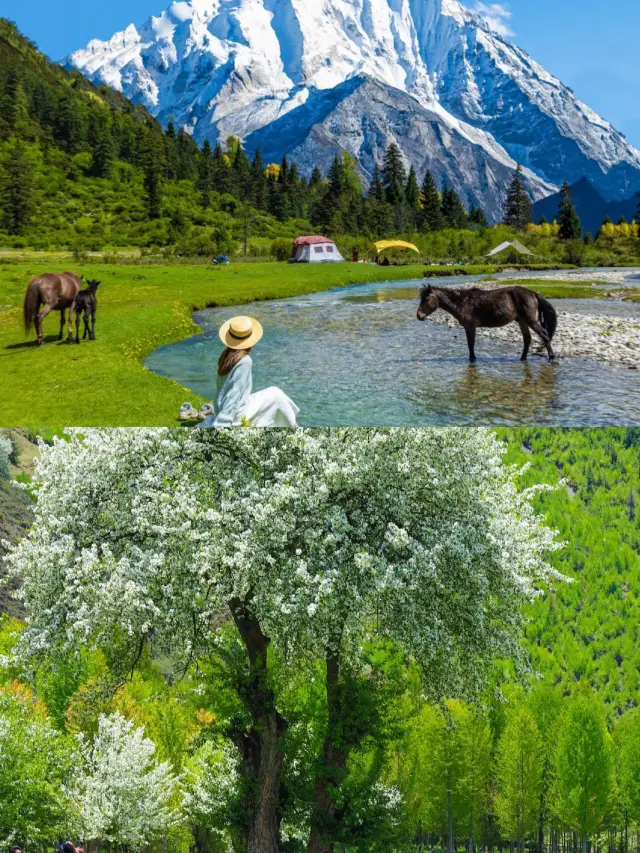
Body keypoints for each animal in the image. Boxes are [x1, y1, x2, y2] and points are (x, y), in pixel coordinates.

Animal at [418, 284, 556, 362]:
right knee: (527, 339)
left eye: (427, 298)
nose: (419, 315)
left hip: (530, 320)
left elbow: (471, 344)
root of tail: (533, 293)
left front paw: (472, 359)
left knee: (544, 335)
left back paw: (551, 357)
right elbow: (470, 344)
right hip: (522, 321)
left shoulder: (470, 327)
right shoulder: (468, 328)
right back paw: (522, 359)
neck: (463, 302)